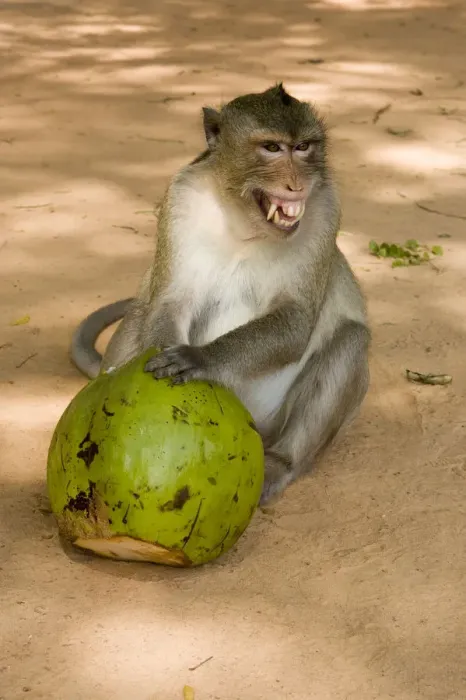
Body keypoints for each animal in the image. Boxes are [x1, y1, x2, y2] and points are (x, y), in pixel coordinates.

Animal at [71, 83, 370, 505]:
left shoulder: (326, 209)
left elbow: (295, 321)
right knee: (142, 308)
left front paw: (201, 359)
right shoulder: (181, 199)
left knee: (351, 339)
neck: (246, 222)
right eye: (272, 148)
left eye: (304, 147)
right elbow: (168, 302)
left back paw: (281, 463)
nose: (297, 184)